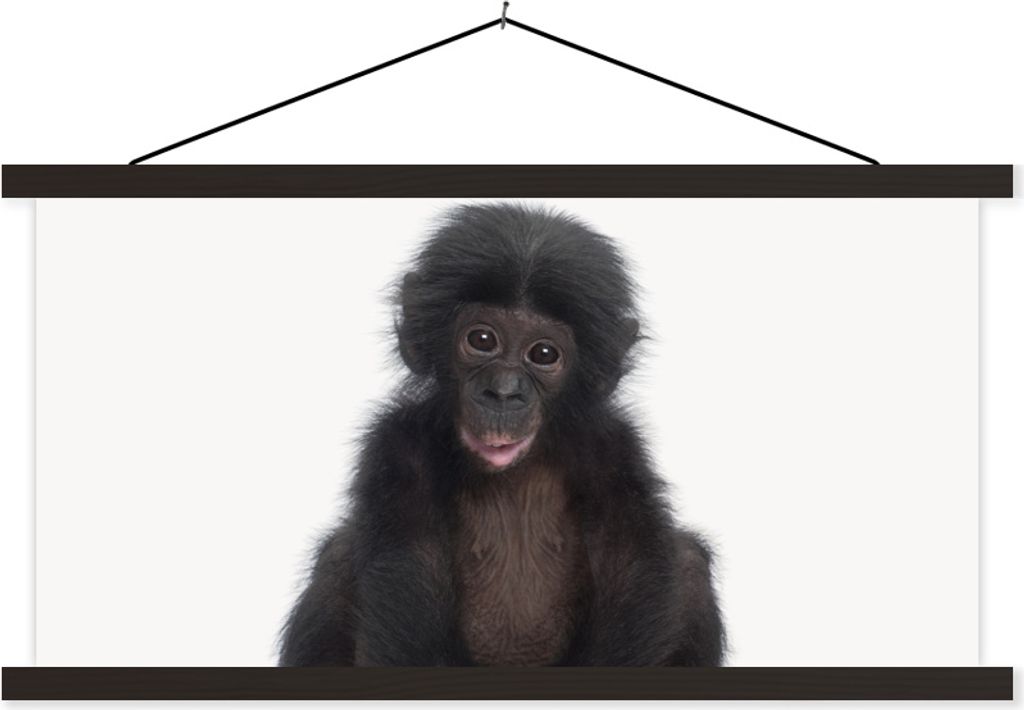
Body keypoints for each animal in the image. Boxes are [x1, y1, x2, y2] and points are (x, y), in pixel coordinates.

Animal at [279, 203, 724, 666]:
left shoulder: (616, 452)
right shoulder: (397, 448)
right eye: (482, 339)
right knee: (336, 557)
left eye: (543, 354)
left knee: (689, 564)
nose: (505, 391)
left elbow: (633, 580)